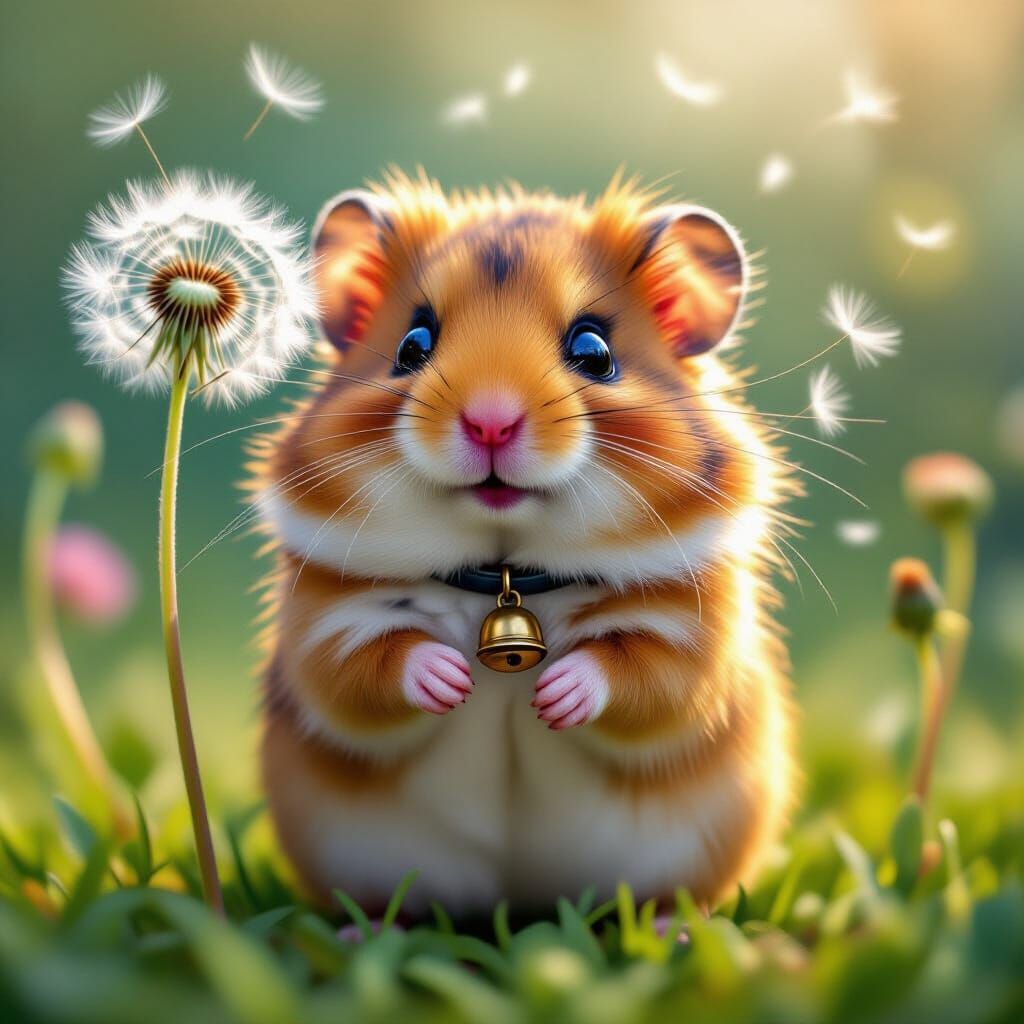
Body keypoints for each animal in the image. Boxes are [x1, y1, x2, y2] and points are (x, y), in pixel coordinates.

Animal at [252, 169, 797, 918]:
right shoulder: (327, 620)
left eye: (594, 352)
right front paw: (452, 680)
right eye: (413, 344)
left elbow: (641, 673)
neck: (506, 565)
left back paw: (668, 927)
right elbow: (367, 666)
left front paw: (551, 698)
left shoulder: (690, 632)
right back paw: (362, 929)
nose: (490, 422)